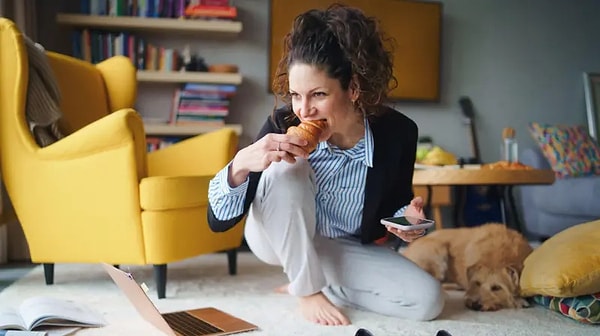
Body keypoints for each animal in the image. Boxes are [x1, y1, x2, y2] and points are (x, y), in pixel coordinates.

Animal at [400, 223, 532, 312]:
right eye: (477, 283)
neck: (498, 256)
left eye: (497, 288)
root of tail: (405, 253)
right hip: (437, 251)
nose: (475, 305)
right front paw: (517, 301)